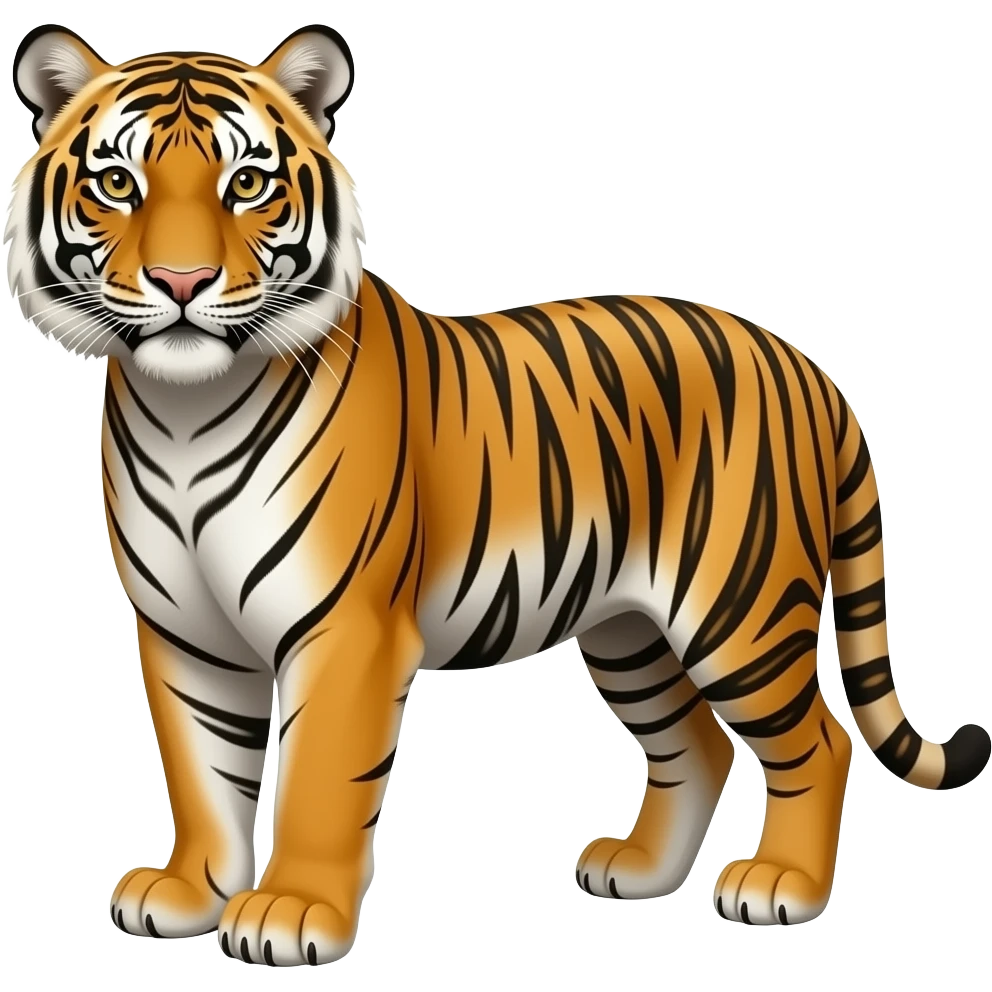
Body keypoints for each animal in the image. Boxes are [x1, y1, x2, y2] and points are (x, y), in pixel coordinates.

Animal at [4, 20, 988, 965]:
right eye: (118, 183)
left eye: (247, 183)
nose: (181, 283)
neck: (185, 411)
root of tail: (806, 364)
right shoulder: (186, 632)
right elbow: (200, 770)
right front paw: (188, 893)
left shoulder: (345, 628)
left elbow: (319, 775)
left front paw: (291, 912)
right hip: (628, 629)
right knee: (696, 742)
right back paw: (640, 869)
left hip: (738, 610)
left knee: (819, 741)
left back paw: (783, 886)